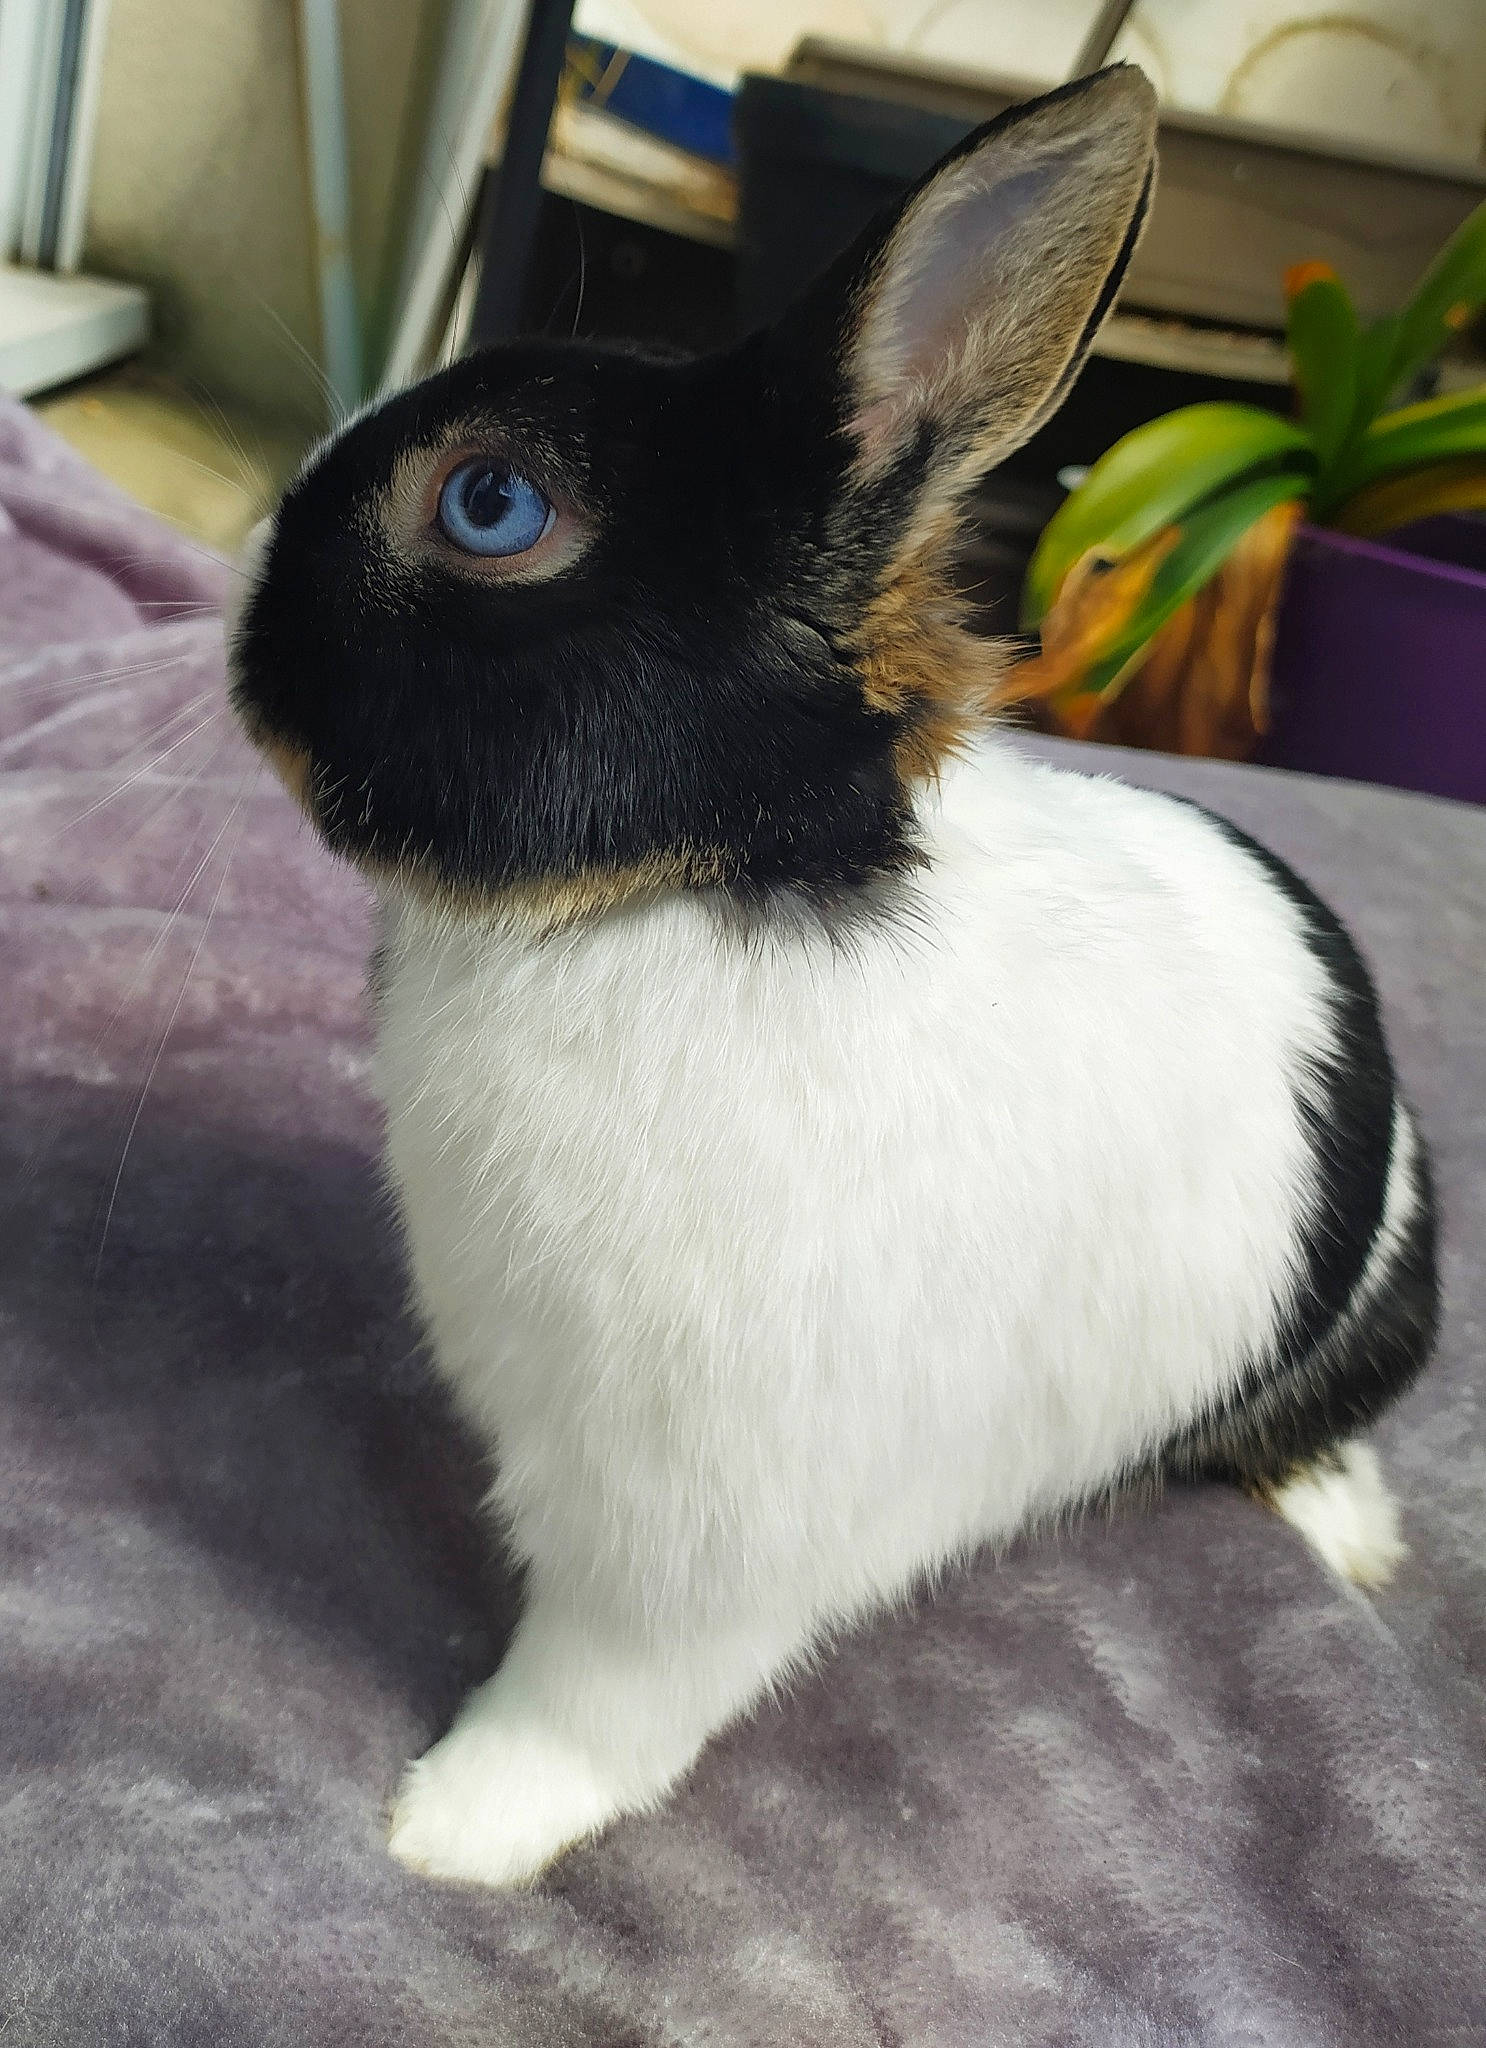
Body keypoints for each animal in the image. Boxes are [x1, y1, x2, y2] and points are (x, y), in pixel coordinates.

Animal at [228, 65, 1437, 1889]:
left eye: (490, 503)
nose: (242, 636)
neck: (688, 899)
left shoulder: (685, 1546)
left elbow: (591, 1711)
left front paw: (449, 1834)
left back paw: (1348, 1539)